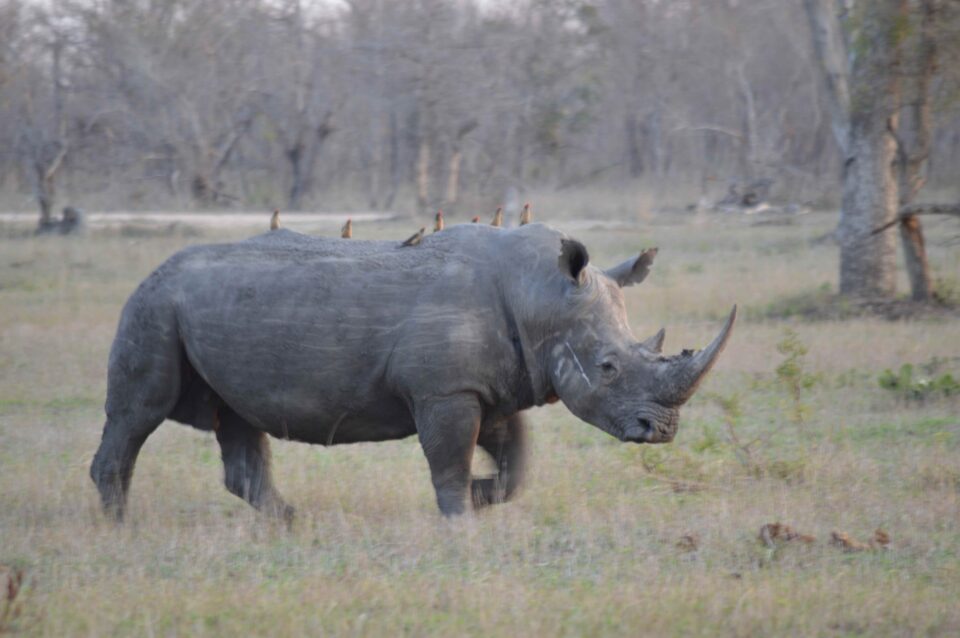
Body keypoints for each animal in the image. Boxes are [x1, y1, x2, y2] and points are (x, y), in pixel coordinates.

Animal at [91, 223, 735, 520]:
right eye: (607, 366)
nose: (662, 431)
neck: (541, 297)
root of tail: (149, 274)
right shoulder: (445, 391)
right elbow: (449, 461)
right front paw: (461, 521)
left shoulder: (492, 385)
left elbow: (516, 465)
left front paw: (481, 495)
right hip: (152, 306)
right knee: (139, 414)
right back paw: (123, 530)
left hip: (195, 310)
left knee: (238, 420)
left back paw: (295, 525)